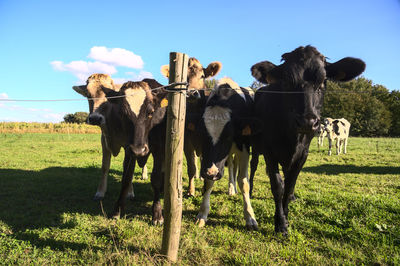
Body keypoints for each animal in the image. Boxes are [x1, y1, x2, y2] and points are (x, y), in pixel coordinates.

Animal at [161, 57, 222, 195]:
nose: (192, 93)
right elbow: (191, 167)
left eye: (202, 76)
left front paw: (205, 189)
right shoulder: (187, 141)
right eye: (184, 77)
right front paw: (191, 191)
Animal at [195, 76, 258, 229]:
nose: (212, 172)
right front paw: (202, 214)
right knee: (231, 168)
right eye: (201, 133)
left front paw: (250, 217)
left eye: (228, 135)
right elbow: (208, 183)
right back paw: (231, 188)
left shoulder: (244, 148)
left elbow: (244, 181)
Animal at [252, 46, 368, 235]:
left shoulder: (302, 155)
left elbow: (290, 184)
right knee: (253, 167)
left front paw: (285, 214)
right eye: (287, 82)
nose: (307, 122)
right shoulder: (269, 152)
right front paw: (280, 223)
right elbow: (277, 187)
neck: (291, 135)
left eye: (323, 82)